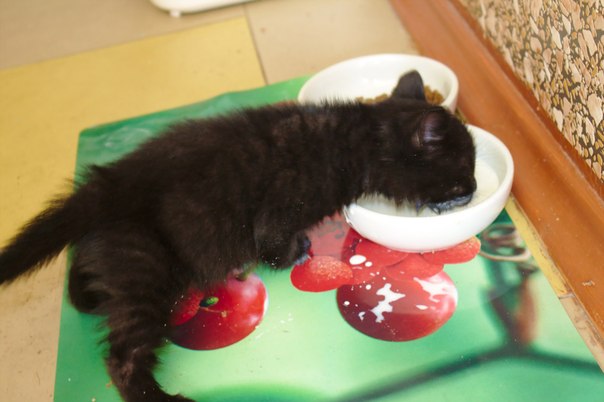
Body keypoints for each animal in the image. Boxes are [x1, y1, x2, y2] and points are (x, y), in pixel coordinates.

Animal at [0, 71, 476, 402]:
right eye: (463, 172)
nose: (472, 189)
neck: (349, 139)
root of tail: (107, 184)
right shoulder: (282, 205)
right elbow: (272, 242)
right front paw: (295, 252)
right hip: (144, 267)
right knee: (124, 358)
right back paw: (159, 397)